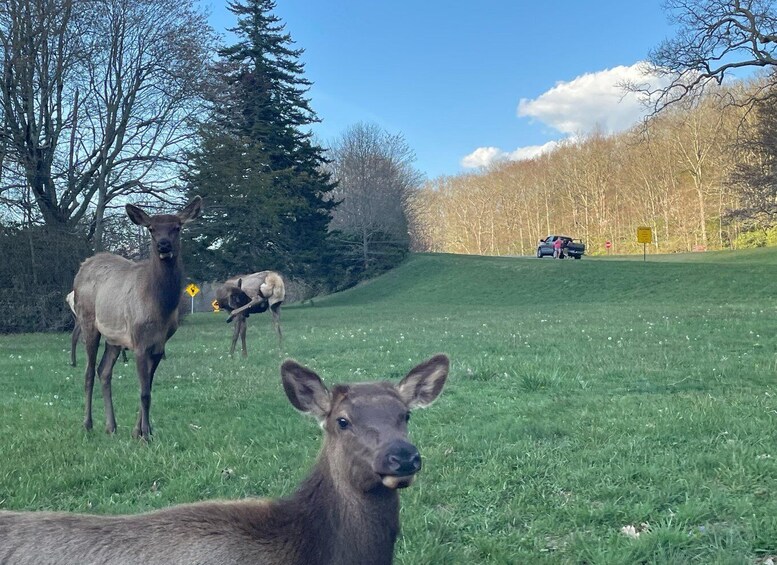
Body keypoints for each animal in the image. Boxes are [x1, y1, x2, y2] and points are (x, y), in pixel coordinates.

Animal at [71, 196, 202, 438]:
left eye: (177, 227)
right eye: (151, 228)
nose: (163, 245)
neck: (159, 306)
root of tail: (84, 265)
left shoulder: (159, 344)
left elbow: (148, 387)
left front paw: (138, 431)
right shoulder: (139, 341)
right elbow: (144, 392)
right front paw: (145, 434)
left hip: (114, 338)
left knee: (103, 371)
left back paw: (111, 426)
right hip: (87, 321)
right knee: (88, 372)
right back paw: (88, 424)